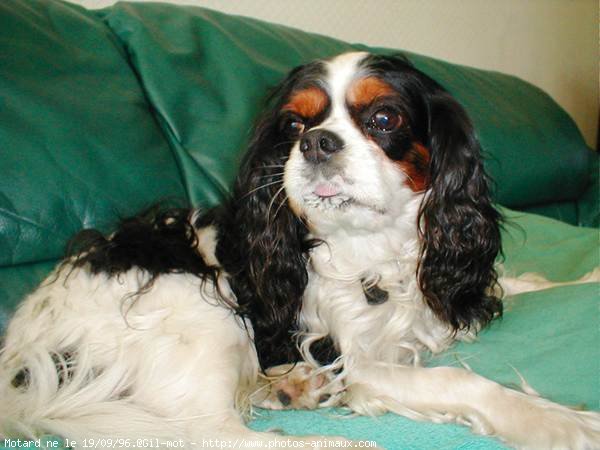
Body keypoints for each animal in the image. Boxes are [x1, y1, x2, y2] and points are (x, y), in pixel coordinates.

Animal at [1, 51, 600, 446]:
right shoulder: (357, 360)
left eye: (384, 118)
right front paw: (557, 423)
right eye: (293, 124)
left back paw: (292, 387)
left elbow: (523, 282)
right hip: (200, 306)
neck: (377, 248)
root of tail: (22, 351)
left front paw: (584, 278)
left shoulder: (449, 283)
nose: (316, 142)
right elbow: (456, 379)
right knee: (212, 432)